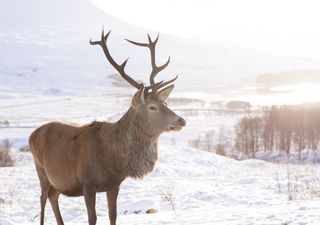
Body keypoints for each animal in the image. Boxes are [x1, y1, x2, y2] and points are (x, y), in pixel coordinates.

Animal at [28, 28, 186, 225]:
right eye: (152, 107)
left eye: (165, 102)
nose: (181, 121)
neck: (112, 158)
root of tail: (31, 135)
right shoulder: (87, 183)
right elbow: (92, 218)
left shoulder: (114, 185)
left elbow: (113, 215)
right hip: (40, 169)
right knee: (42, 198)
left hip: (58, 181)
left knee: (53, 196)